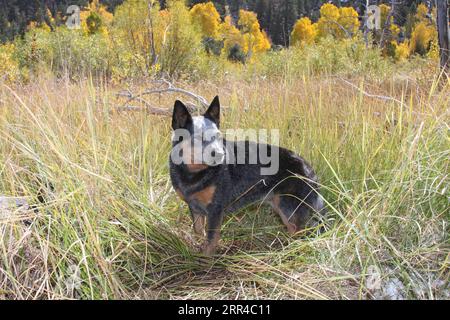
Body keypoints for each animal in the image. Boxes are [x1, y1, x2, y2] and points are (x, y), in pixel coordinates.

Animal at [169, 96, 324, 256]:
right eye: (198, 139)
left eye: (218, 136)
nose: (220, 154)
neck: (194, 174)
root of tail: (306, 165)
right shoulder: (195, 208)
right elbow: (199, 232)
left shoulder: (215, 210)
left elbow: (211, 241)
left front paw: (205, 259)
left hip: (289, 208)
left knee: (301, 233)